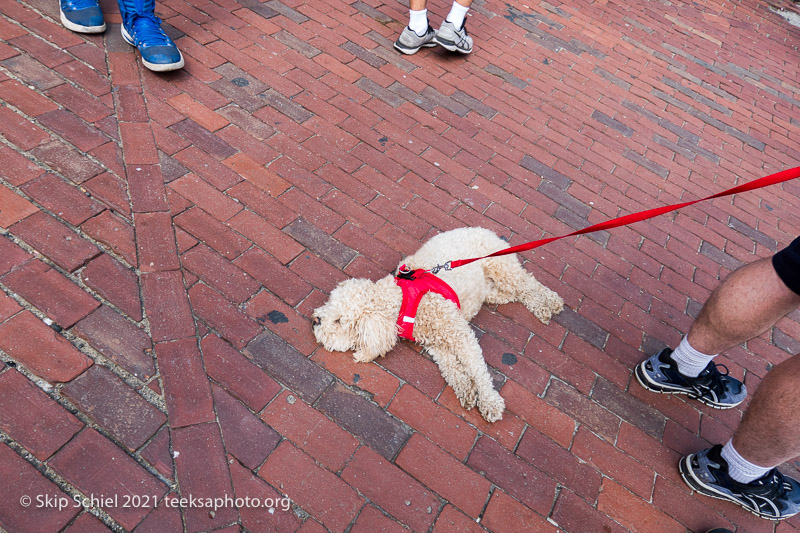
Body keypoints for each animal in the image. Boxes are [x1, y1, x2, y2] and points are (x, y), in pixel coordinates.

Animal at [310, 227, 564, 422]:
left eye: (339, 321)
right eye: (329, 303)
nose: (315, 321)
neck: (403, 301)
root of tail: (488, 231)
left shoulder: (460, 335)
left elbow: (477, 369)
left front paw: (489, 401)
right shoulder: (438, 343)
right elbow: (451, 367)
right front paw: (465, 389)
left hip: (502, 268)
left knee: (527, 284)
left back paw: (549, 303)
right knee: (509, 293)